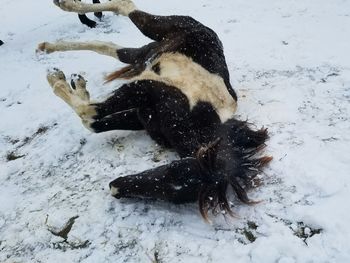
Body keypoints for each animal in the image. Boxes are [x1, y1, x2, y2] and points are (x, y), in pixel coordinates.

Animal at [37, 0, 270, 222]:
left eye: (174, 193)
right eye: (173, 170)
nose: (115, 188)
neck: (197, 117)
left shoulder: (142, 116)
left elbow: (92, 122)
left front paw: (71, 86)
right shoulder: (143, 88)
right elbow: (90, 111)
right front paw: (57, 82)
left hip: (141, 54)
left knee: (109, 45)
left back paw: (57, 58)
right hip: (159, 29)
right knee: (126, 7)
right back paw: (62, 21)